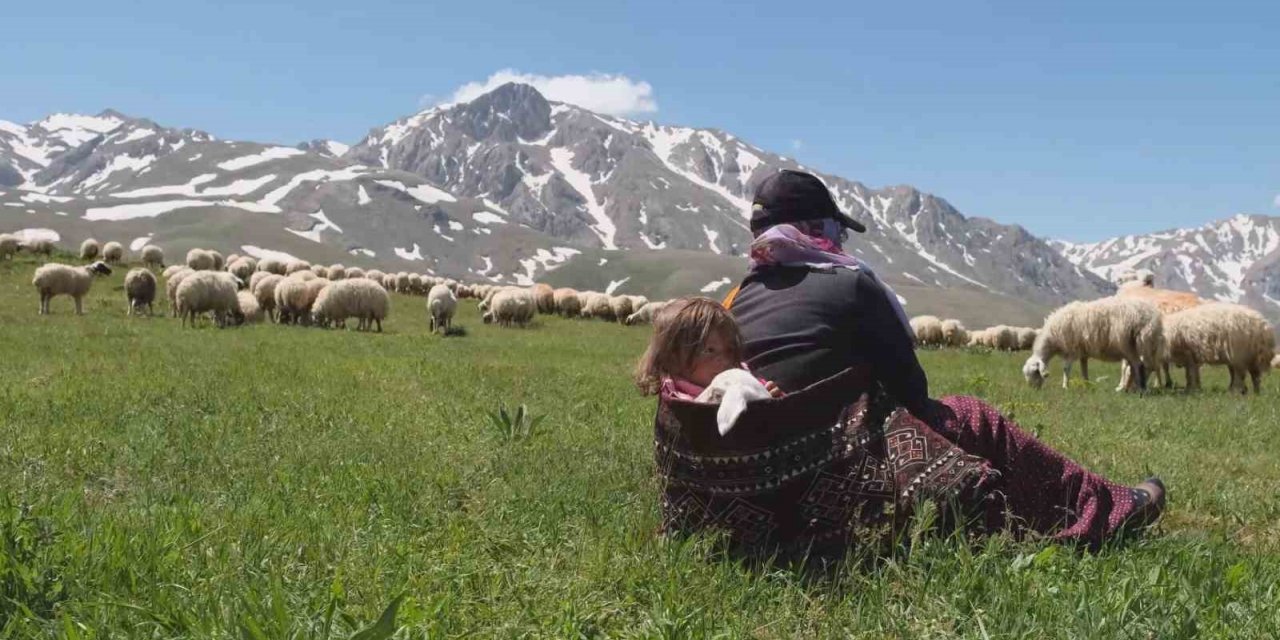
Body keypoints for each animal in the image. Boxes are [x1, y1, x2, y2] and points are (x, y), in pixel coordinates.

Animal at [1024, 296, 1167, 391]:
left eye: (1035, 372)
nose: (1033, 389)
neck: (1052, 337)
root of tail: (1153, 317)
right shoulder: (1083, 351)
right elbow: (1084, 368)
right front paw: (1086, 384)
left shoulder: (1072, 349)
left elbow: (1066, 368)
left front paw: (1065, 386)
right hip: (1140, 344)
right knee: (1138, 366)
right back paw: (1128, 388)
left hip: (1129, 344)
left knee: (1138, 365)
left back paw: (1138, 388)